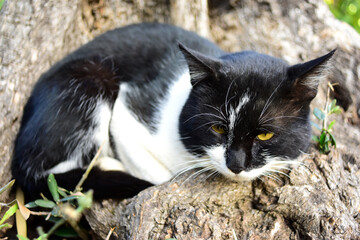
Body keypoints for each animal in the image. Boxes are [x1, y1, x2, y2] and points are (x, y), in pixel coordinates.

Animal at [11, 22, 334, 200]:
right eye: (217, 128)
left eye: (265, 135)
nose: (236, 164)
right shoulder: (128, 109)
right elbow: (159, 172)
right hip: (89, 79)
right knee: (50, 172)